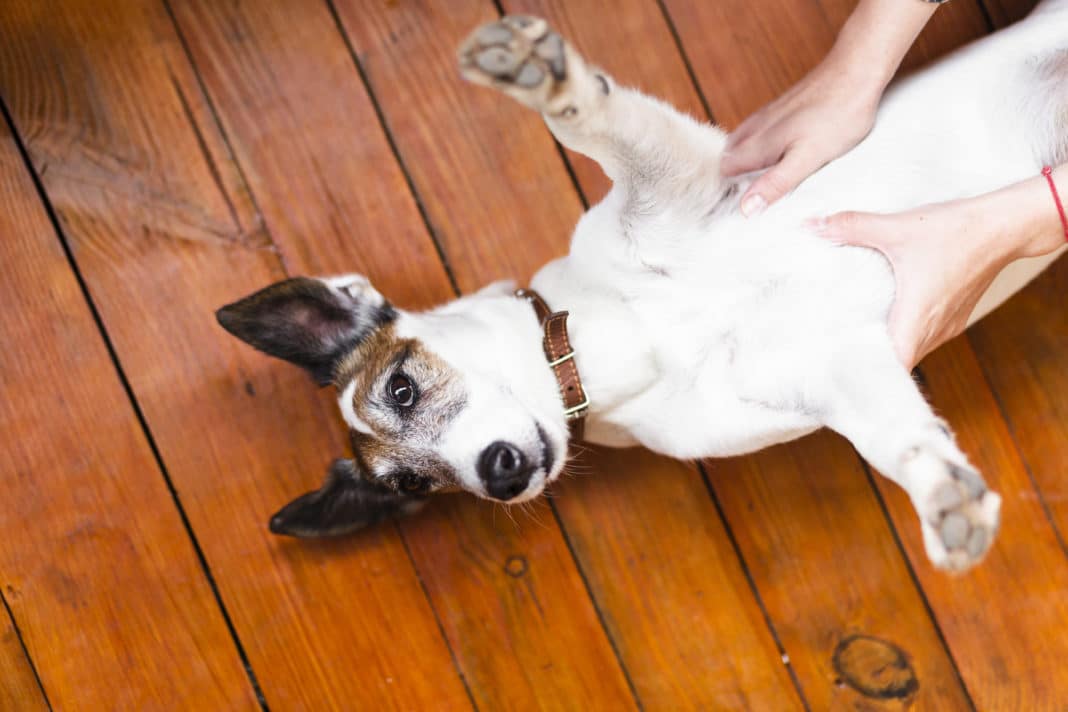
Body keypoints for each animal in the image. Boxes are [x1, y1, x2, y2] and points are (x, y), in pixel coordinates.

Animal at [216, 5, 1068, 572]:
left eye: (401, 387)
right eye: (416, 483)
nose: (502, 474)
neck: (634, 338)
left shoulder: (684, 176)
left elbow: (583, 123)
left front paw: (543, 79)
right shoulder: (825, 361)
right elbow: (896, 438)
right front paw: (943, 495)